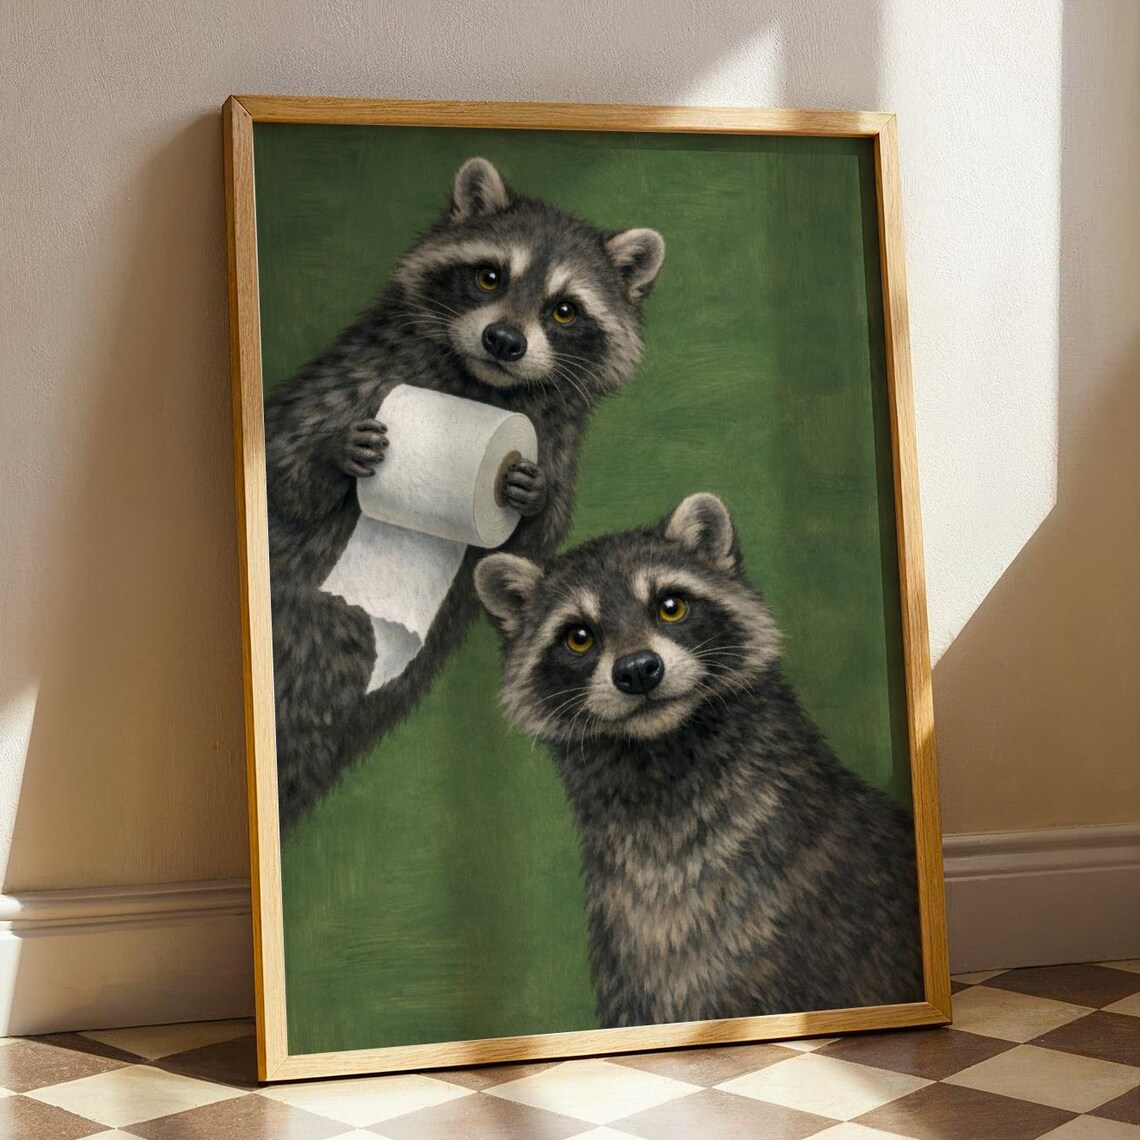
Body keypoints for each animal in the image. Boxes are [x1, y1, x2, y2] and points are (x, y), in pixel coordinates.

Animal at [265, 157, 665, 830]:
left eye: (564, 310)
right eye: (488, 276)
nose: (504, 339)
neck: (481, 389)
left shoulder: (552, 441)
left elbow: (528, 547)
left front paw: (531, 497)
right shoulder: (348, 385)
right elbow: (278, 472)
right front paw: (331, 456)